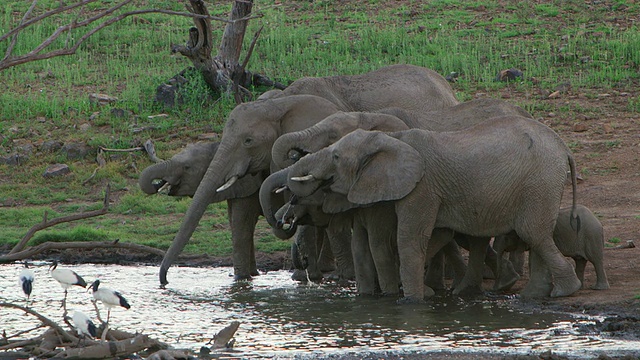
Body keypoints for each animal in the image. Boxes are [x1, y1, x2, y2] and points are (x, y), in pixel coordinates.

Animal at [282, 119, 584, 304]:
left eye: (335, 157)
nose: (288, 215)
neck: (393, 139)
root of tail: (564, 147)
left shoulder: (421, 187)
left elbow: (410, 240)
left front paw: (411, 301)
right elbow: (437, 236)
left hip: (540, 181)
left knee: (534, 233)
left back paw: (564, 291)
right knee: (536, 236)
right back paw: (536, 294)